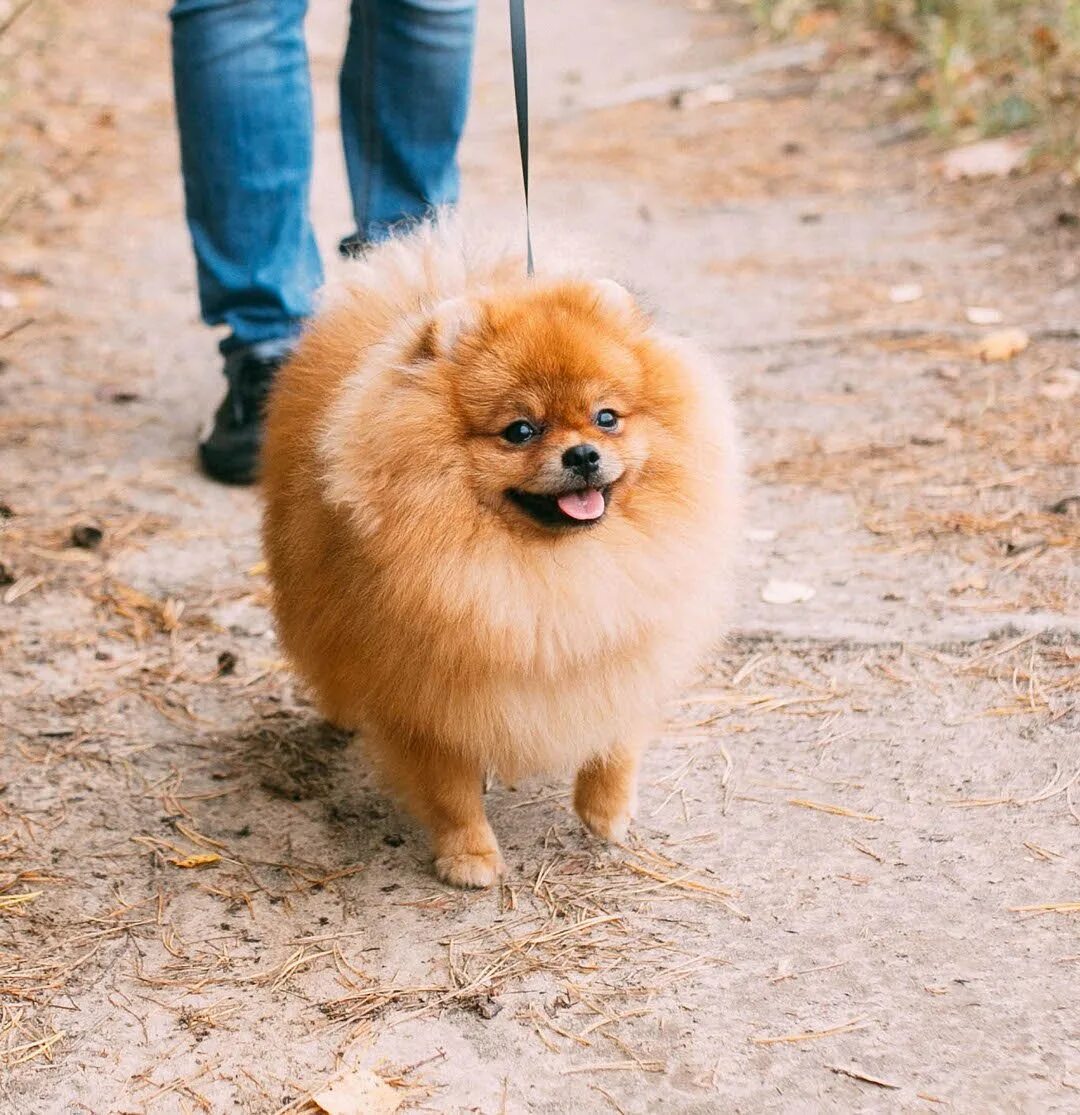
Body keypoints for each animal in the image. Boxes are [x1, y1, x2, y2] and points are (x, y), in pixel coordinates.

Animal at [259, 221, 740, 887]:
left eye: (606, 417)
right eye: (520, 430)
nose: (583, 454)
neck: (547, 569)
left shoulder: (623, 643)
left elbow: (616, 740)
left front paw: (607, 812)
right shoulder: (426, 696)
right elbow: (450, 789)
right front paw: (470, 856)